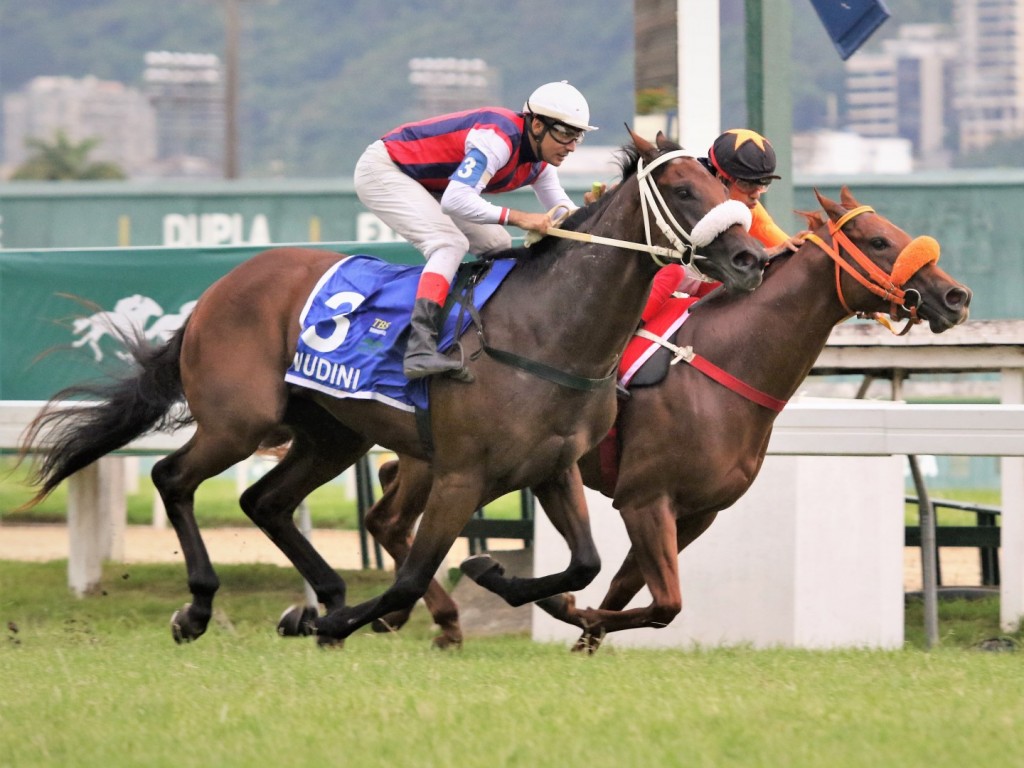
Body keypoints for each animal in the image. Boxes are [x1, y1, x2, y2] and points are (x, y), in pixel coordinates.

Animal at [19, 131, 765, 643]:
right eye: (685, 191)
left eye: (723, 189)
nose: (751, 258)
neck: (548, 331)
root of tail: (215, 293)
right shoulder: (462, 473)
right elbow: (408, 578)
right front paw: (346, 621)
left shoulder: (554, 468)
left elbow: (583, 563)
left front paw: (493, 577)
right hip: (240, 422)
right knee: (173, 479)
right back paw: (202, 606)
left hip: (330, 435)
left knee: (265, 501)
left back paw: (322, 595)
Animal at [362, 186, 974, 651]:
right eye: (879, 240)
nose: (955, 296)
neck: (727, 368)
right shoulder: (645, 498)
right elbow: (665, 603)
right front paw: (537, 594)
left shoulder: (695, 512)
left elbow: (633, 596)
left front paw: (577, 629)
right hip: (454, 459)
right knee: (389, 515)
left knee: (386, 503)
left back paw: (403, 613)